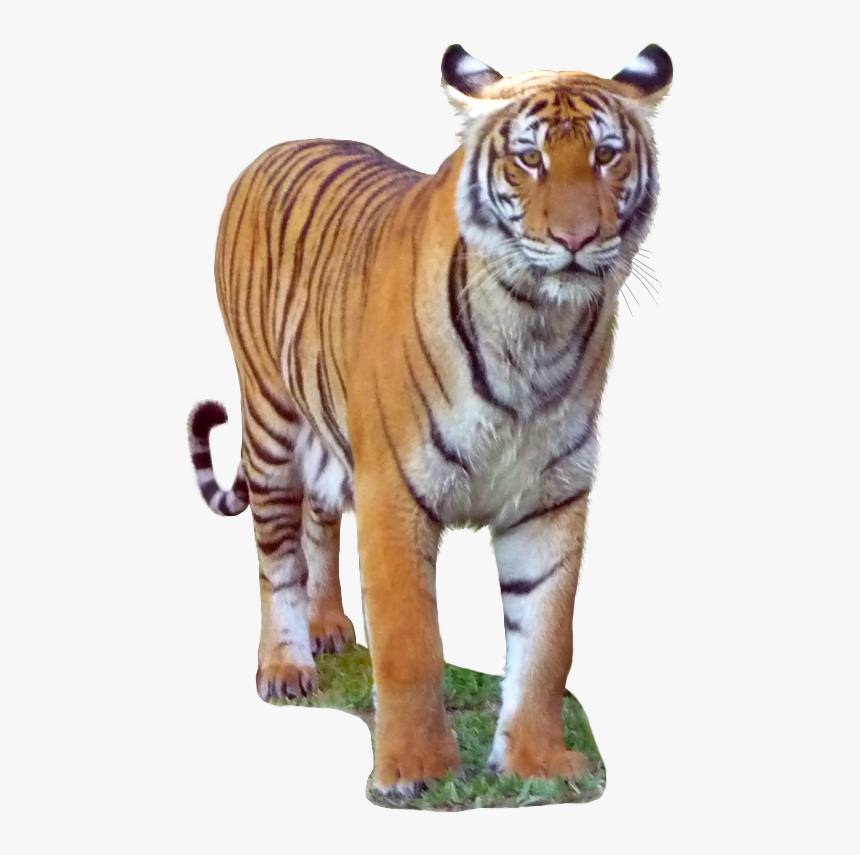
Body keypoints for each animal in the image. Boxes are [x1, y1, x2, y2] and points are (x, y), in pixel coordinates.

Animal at [188, 43, 672, 796]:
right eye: (529, 158)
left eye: (606, 156)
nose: (575, 238)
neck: (538, 327)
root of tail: (278, 146)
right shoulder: (395, 488)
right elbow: (411, 642)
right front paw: (415, 769)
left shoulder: (552, 496)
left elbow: (547, 641)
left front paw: (536, 762)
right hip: (269, 418)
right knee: (275, 553)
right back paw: (287, 666)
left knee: (317, 518)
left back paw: (330, 628)